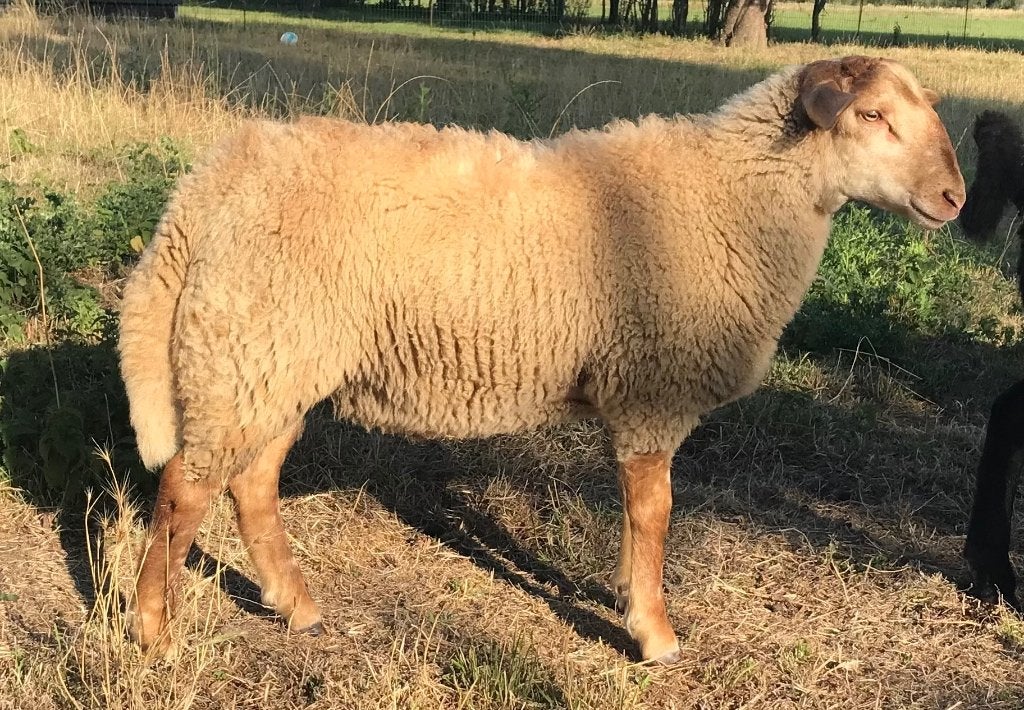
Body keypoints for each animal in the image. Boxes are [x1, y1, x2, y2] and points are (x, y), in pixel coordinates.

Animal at [119, 55, 965, 663]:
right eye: (872, 115)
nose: (954, 198)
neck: (737, 192)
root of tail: (203, 190)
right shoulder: (652, 387)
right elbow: (655, 513)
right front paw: (654, 633)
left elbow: (637, 514)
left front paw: (629, 599)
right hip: (249, 347)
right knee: (185, 489)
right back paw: (153, 632)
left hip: (276, 358)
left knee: (251, 484)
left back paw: (296, 608)